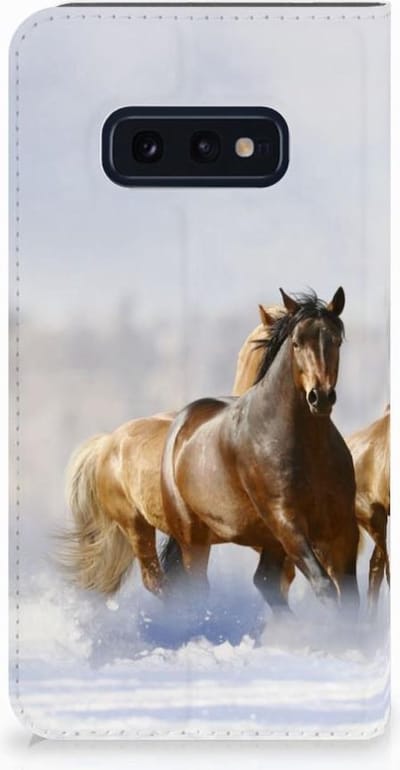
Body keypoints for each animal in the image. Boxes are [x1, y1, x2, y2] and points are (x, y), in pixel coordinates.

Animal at [160, 288, 359, 612]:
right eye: (296, 342)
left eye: (335, 340)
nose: (320, 397)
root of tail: (181, 423)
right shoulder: (286, 521)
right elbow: (324, 586)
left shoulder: (342, 526)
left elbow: (351, 597)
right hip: (194, 537)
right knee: (198, 589)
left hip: (267, 541)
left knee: (265, 581)